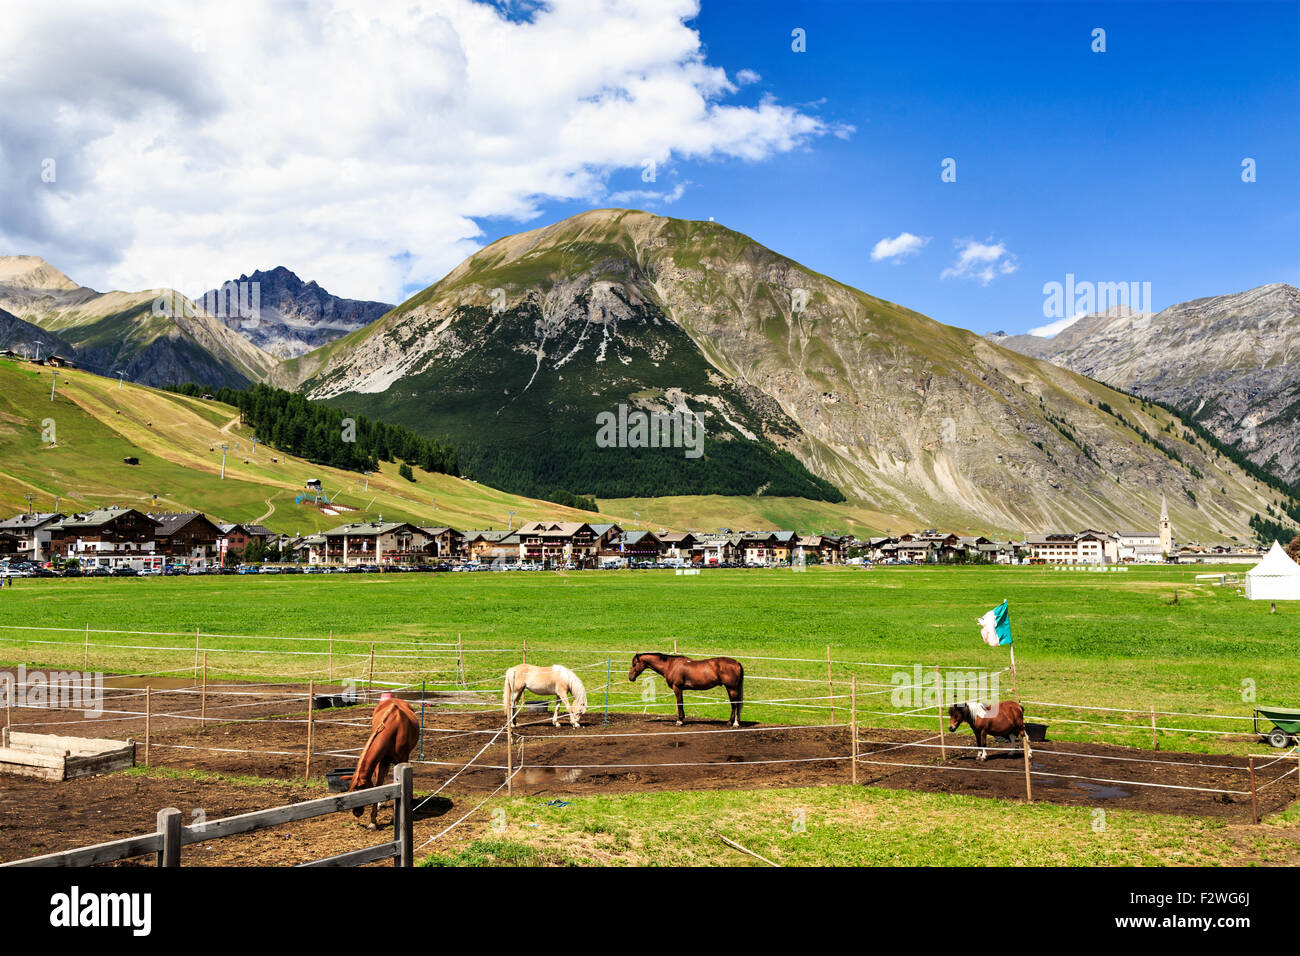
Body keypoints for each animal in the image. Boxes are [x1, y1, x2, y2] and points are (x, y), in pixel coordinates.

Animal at [348, 696, 419, 828]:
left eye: (361, 792)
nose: (356, 812)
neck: (394, 728)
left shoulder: (402, 759)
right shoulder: (383, 761)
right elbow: (378, 784)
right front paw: (373, 821)